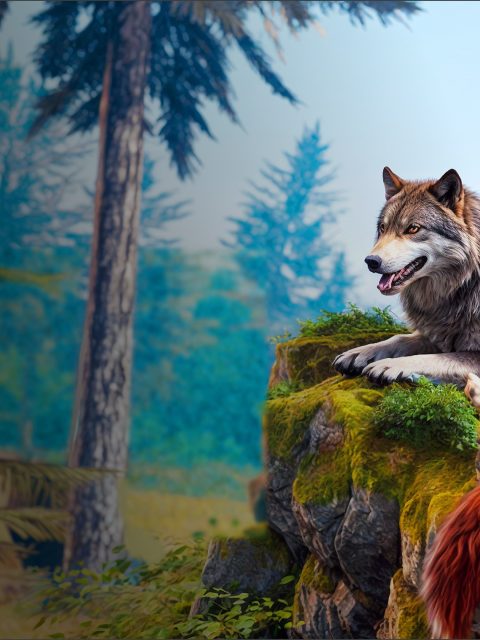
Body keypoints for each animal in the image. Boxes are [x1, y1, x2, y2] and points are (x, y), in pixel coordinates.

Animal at [333, 166, 480, 387]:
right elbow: (399, 338)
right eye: (383, 228)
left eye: (413, 228)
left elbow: (434, 358)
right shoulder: (438, 334)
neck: (465, 284)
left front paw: (390, 365)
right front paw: (359, 353)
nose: (371, 261)